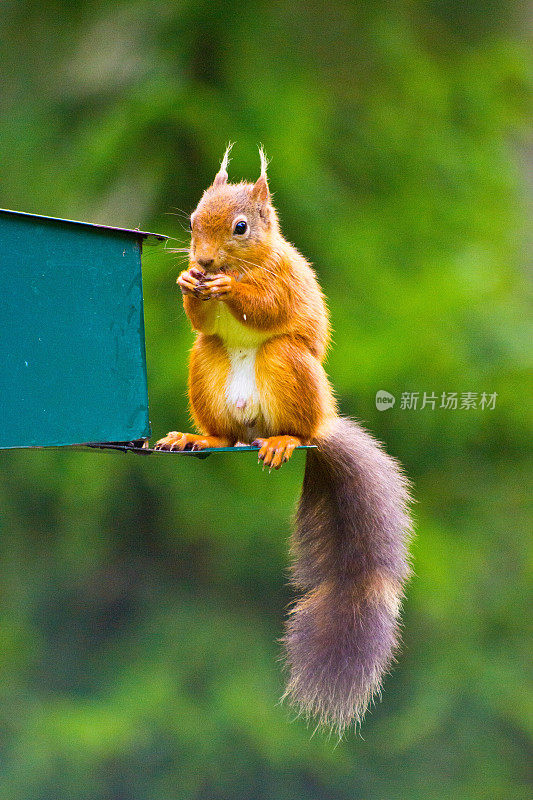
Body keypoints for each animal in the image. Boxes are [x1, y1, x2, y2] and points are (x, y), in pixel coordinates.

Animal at [154, 144, 412, 732]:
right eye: (193, 221)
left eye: (241, 227)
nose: (203, 262)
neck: (244, 263)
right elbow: (199, 317)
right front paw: (187, 283)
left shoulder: (285, 280)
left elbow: (267, 304)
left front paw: (230, 289)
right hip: (206, 365)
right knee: (222, 419)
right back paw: (198, 438)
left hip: (287, 366)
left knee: (288, 413)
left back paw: (284, 442)